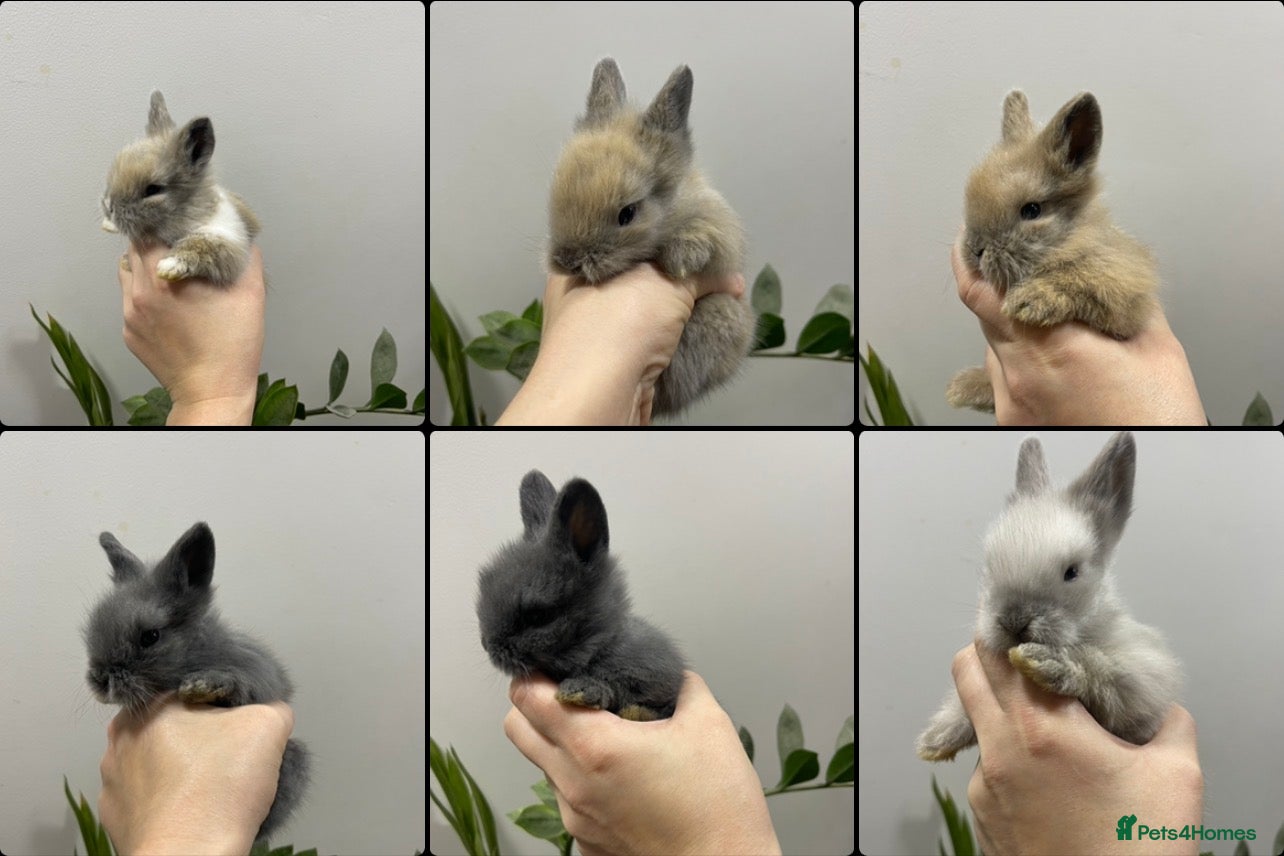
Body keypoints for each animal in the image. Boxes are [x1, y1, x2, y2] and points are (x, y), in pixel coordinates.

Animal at [101, 91, 260, 285]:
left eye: (153, 190)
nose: (109, 207)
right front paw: (108, 224)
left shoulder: (229, 236)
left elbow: (202, 244)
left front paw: (169, 266)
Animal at [916, 432, 1181, 761]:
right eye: (988, 565)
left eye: (1072, 572)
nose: (1014, 622)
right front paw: (937, 739)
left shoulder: (1146, 680)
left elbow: (1102, 669)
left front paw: (1045, 663)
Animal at [947, 90, 1161, 412]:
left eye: (1032, 210)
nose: (975, 249)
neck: (1069, 240)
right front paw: (960, 388)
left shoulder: (1122, 293)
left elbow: (1081, 283)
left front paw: (1028, 302)